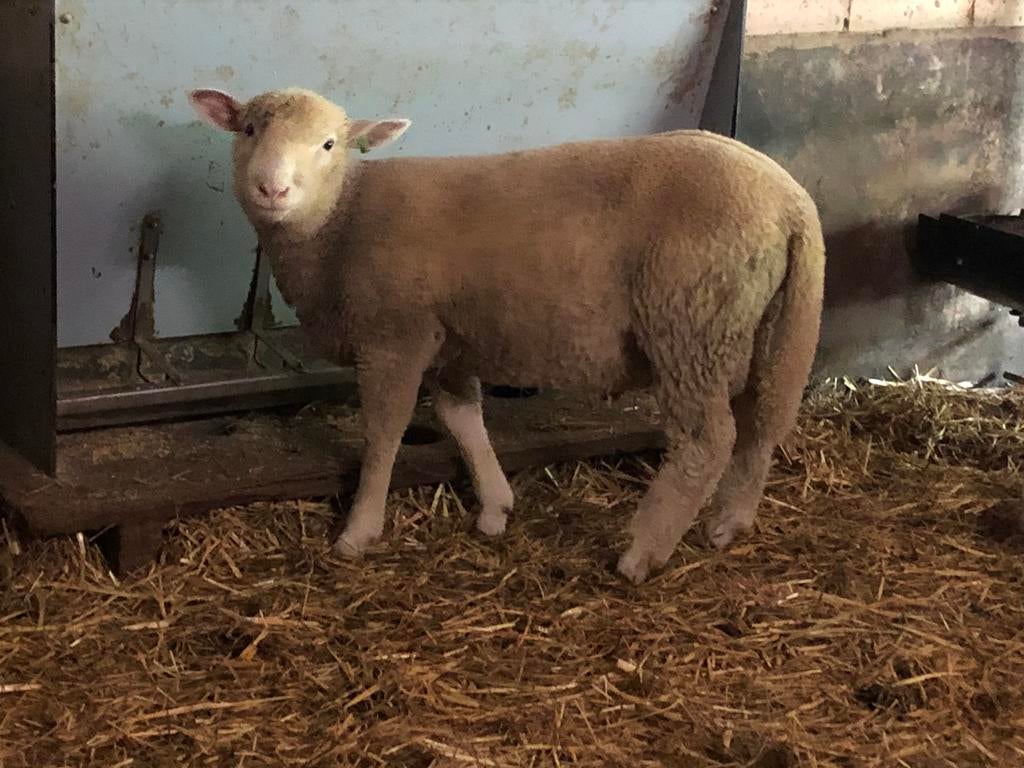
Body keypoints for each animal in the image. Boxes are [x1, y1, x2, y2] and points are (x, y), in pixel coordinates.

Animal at [189, 86, 826, 584]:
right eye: (249, 128)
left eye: (328, 145)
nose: (273, 189)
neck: (340, 222)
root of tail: (791, 202)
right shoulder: (452, 341)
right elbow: (461, 419)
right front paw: (495, 507)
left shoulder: (396, 336)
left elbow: (384, 434)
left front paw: (360, 530)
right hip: (772, 326)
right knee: (765, 423)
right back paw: (729, 523)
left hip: (690, 323)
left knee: (708, 439)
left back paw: (643, 551)